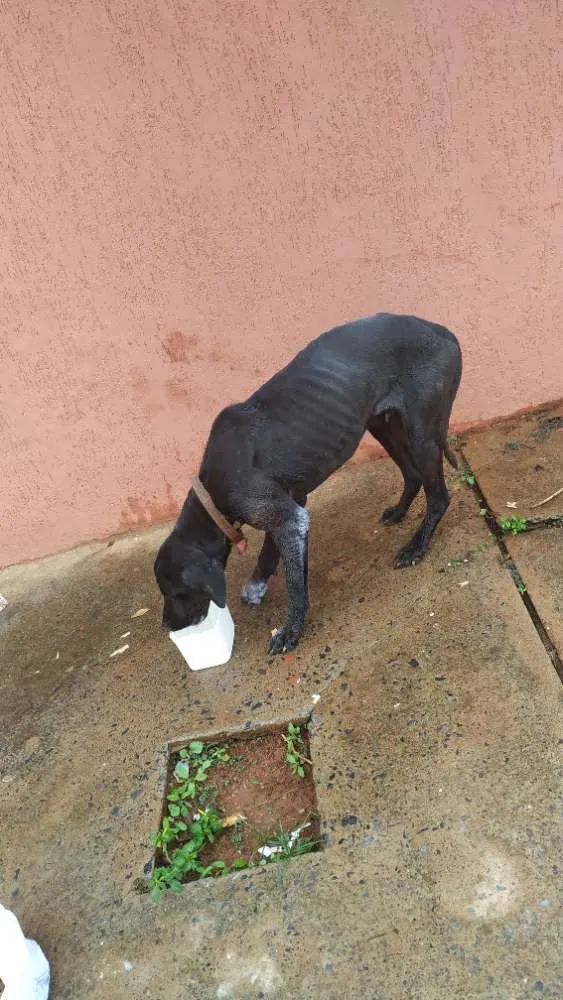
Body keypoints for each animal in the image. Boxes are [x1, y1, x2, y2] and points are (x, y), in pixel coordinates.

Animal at [153, 314, 462, 656]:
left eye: (177, 592)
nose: (167, 625)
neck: (213, 491)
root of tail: (441, 329)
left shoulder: (289, 520)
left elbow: (295, 586)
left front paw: (290, 631)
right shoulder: (291, 504)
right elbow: (269, 554)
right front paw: (256, 587)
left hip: (422, 434)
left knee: (439, 497)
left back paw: (417, 546)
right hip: (384, 426)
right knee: (412, 475)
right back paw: (399, 512)